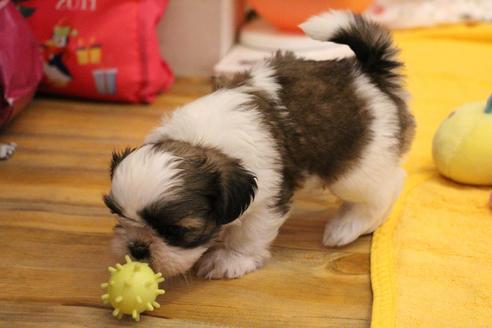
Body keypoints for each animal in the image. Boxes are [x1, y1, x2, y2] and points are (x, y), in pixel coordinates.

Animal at [104, 12, 416, 280]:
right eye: (119, 216)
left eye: (175, 230)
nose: (138, 248)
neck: (200, 140)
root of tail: (367, 75)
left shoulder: (267, 196)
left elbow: (249, 232)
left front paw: (230, 258)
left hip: (355, 166)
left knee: (387, 187)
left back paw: (348, 226)